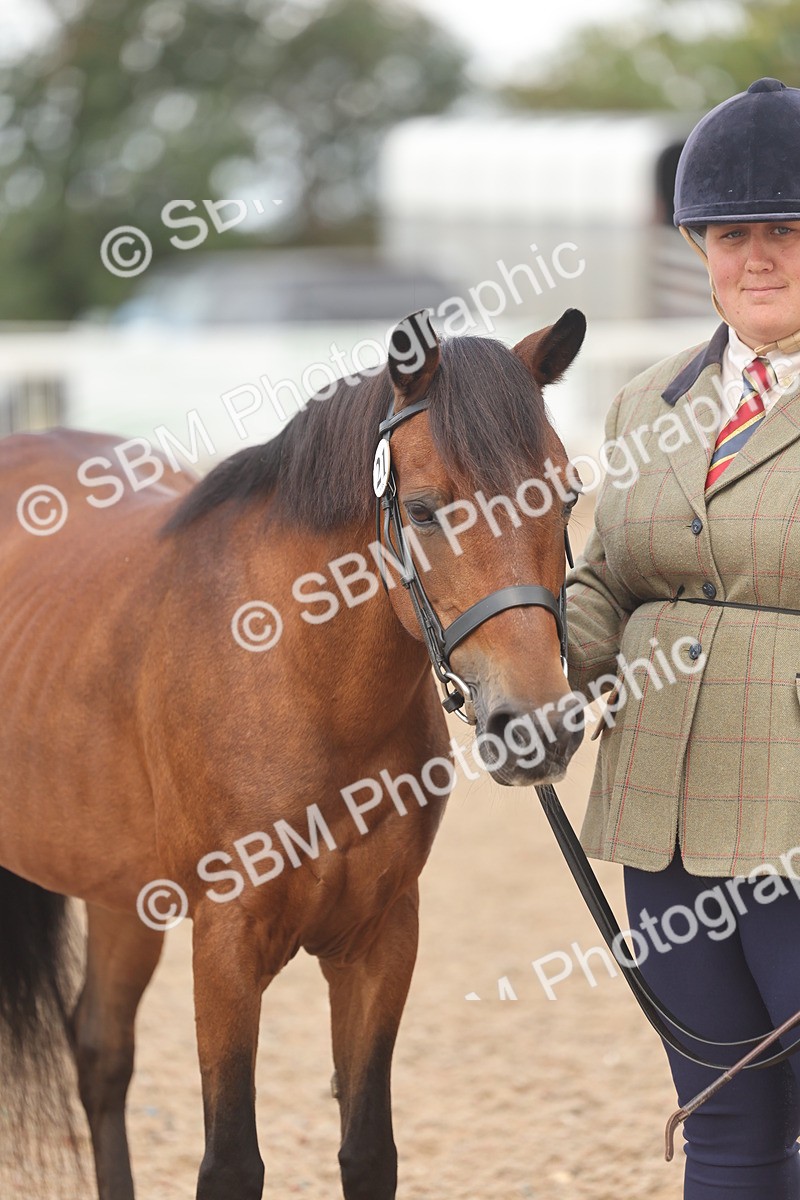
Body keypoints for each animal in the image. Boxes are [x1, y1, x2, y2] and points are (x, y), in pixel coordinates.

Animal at [0, 307, 585, 1199]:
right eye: (423, 511)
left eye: (565, 496)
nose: (540, 727)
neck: (302, 681)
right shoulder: (227, 945)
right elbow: (232, 1161)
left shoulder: (380, 937)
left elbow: (369, 1148)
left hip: (119, 888)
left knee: (100, 1052)